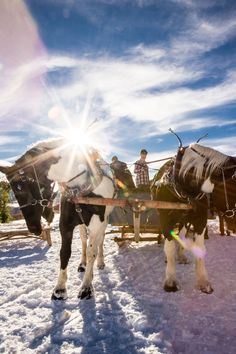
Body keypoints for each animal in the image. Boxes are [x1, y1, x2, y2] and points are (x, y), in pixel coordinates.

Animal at [0, 138, 114, 298]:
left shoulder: (98, 223)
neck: (80, 186)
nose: (33, 228)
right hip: (81, 224)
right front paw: (60, 288)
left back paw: (100, 262)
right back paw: (83, 264)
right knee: (84, 240)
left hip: (104, 222)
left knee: (99, 241)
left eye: (21, 188)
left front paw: (86, 286)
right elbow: (65, 252)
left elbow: (92, 252)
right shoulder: (66, 224)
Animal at [153, 141, 236, 294]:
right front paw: (170, 281)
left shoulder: (200, 220)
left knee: (181, 234)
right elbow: (169, 247)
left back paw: (181, 256)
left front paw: (203, 281)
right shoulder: (166, 220)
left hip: (184, 220)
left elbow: (200, 249)